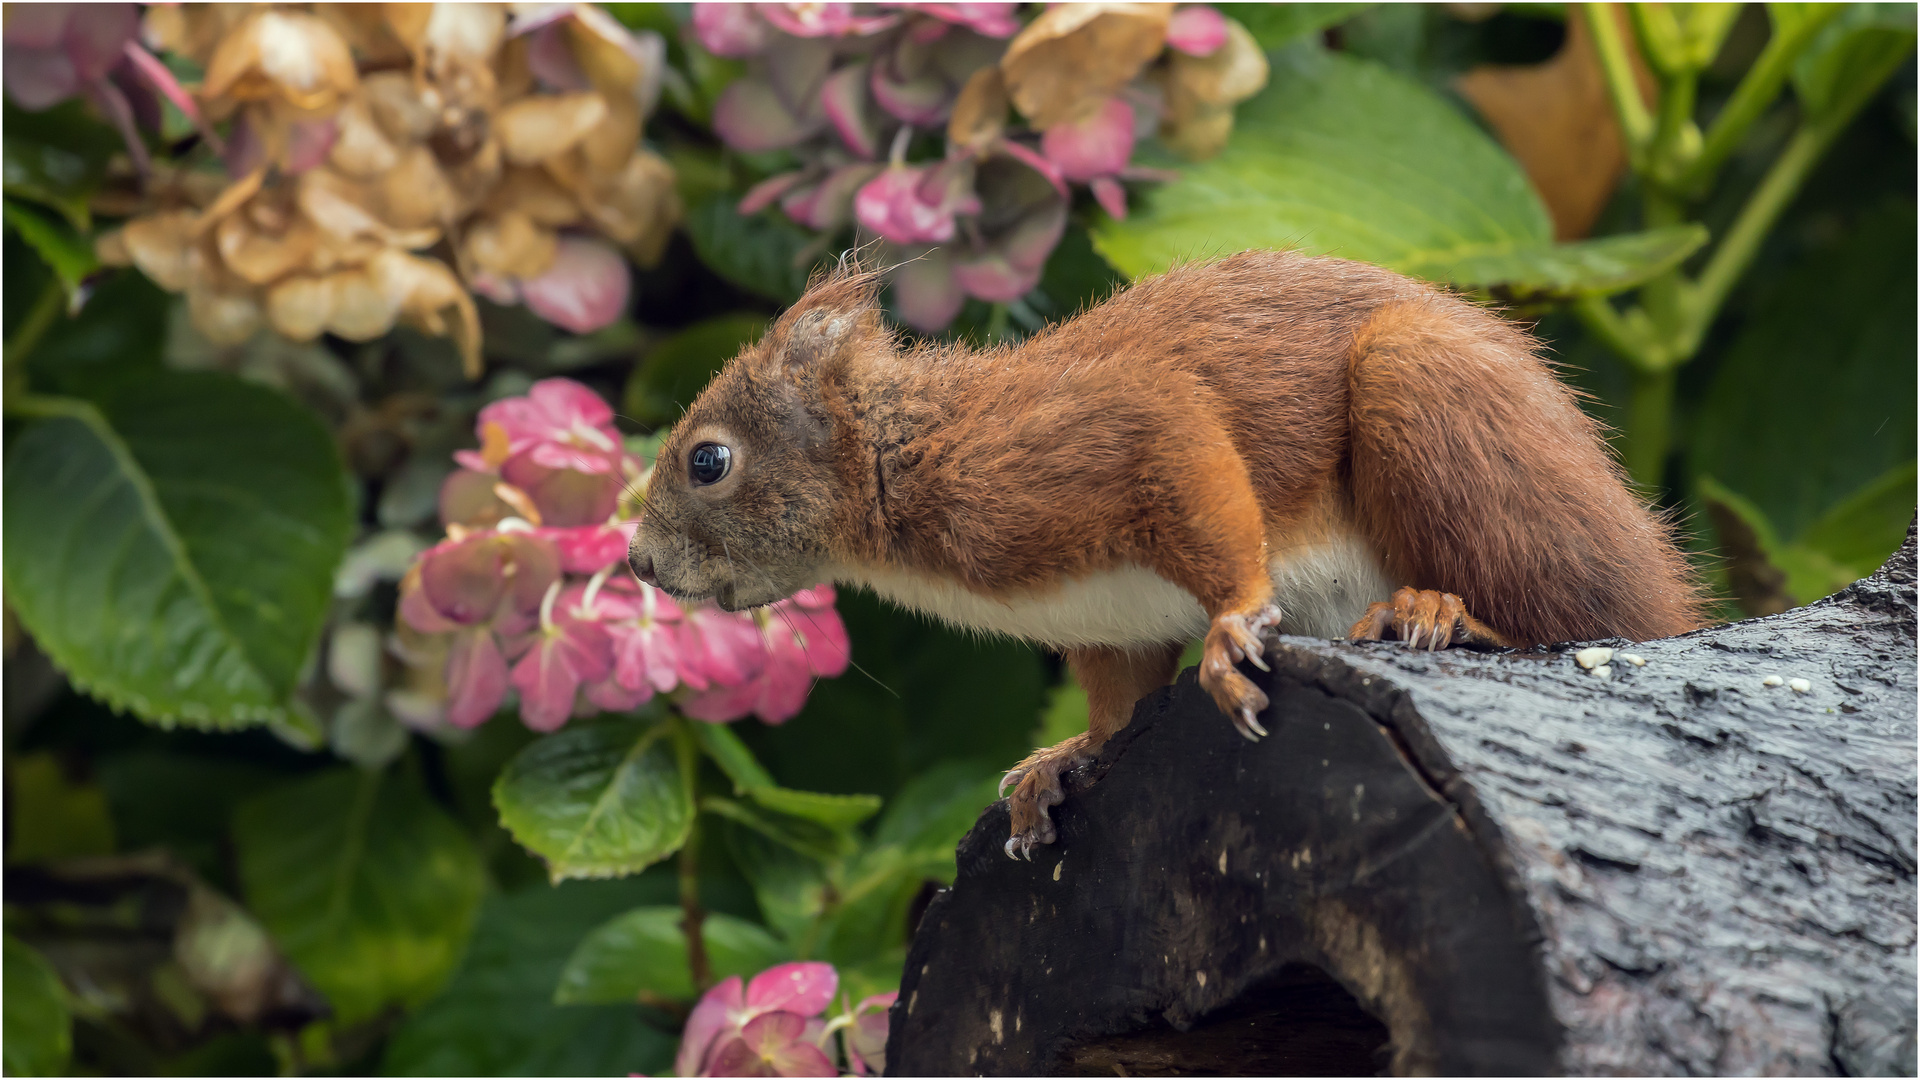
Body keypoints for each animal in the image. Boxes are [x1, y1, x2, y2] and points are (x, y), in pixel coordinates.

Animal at [629, 251, 1712, 857]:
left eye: (708, 460)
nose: (639, 563)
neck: (909, 453)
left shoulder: (1114, 435)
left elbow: (1211, 508)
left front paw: (1231, 633)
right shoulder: (1103, 613)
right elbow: (1118, 701)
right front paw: (1062, 762)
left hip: (1435, 398)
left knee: (1586, 613)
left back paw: (1440, 610)